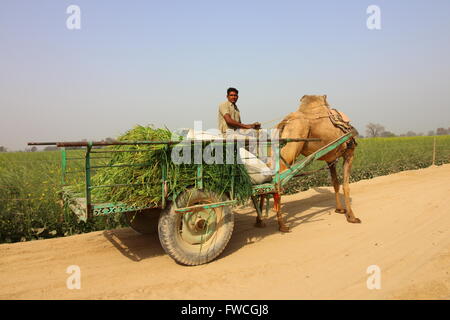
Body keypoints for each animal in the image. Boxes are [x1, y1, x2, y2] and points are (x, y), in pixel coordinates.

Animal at [256, 94, 358, 231]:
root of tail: (286, 120)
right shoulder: (349, 153)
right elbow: (346, 186)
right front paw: (352, 217)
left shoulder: (331, 159)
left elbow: (335, 183)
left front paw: (340, 209)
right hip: (293, 144)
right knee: (278, 180)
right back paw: (282, 225)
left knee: (268, 172)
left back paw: (260, 221)